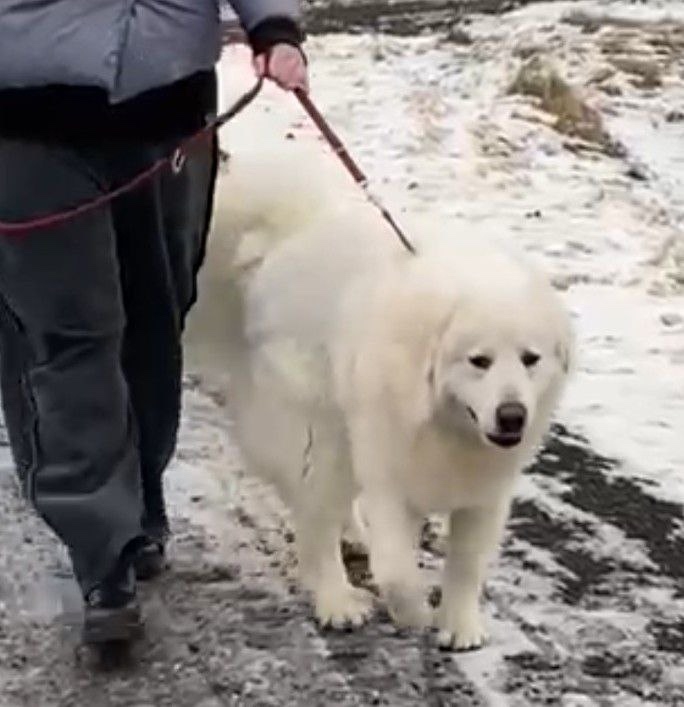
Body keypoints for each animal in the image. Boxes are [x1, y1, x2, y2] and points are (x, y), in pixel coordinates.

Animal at [186, 138, 573, 651]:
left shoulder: (484, 493)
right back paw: (337, 600)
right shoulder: (392, 477)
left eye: (531, 359)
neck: (444, 422)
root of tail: (283, 240)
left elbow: (467, 563)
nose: (512, 416)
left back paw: (353, 536)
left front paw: (460, 624)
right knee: (315, 520)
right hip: (322, 429)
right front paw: (414, 614)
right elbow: (395, 569)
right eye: (479, 361)